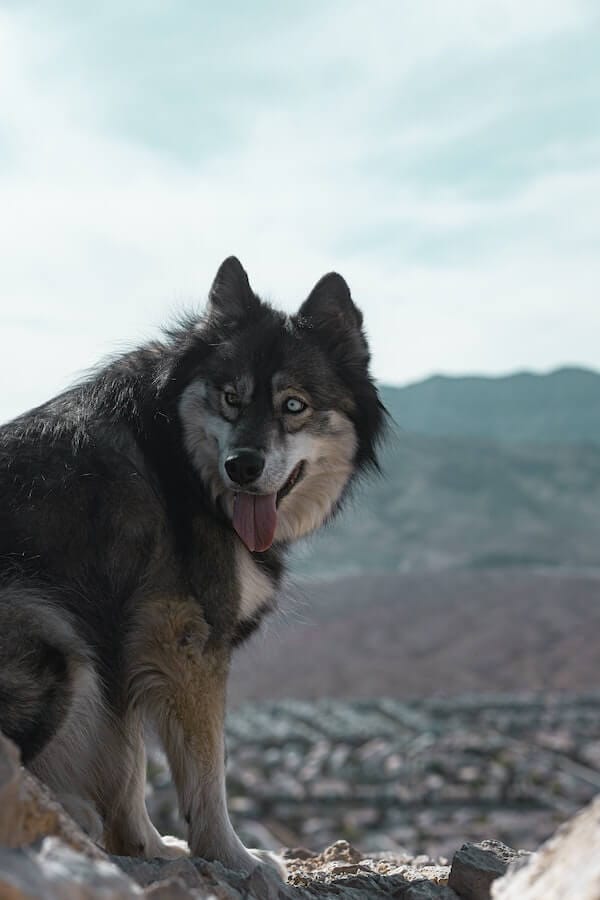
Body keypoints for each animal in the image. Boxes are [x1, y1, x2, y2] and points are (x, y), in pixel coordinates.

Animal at [0, 256, 386, 876]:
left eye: (293, 405)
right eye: (230, 397)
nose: (242, 466)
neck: (179, 458)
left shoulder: (125, 642)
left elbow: (128, 763)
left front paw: (148, 848)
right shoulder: (180, 638)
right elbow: (205, 772)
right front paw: (235, 858)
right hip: (50, 634)